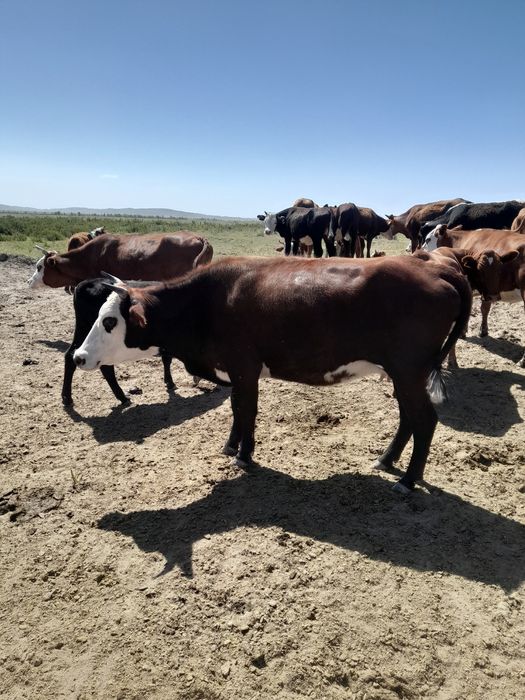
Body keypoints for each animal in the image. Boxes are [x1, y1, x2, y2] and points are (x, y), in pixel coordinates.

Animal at [62, 278, 175, 407]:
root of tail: (85, 283)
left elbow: (167, 359)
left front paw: (169, 381)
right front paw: (170, 382)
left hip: (84, 330)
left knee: (71, 355)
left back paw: (66, 398)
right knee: (106, 367)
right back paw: (123, 397)